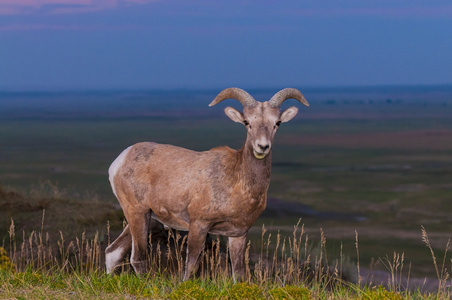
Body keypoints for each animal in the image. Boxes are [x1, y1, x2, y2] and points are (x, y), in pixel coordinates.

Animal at [105, 87, 308, 282]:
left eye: (277, 123)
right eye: (247, 122)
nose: (262, 147)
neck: (236, 182)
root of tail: (120, 160)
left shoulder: (238, 235)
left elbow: (239, 273)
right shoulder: (199, 226)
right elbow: (191, 267)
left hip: (147, 220)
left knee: (112, 252)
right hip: (138, 214)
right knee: (137, 258)